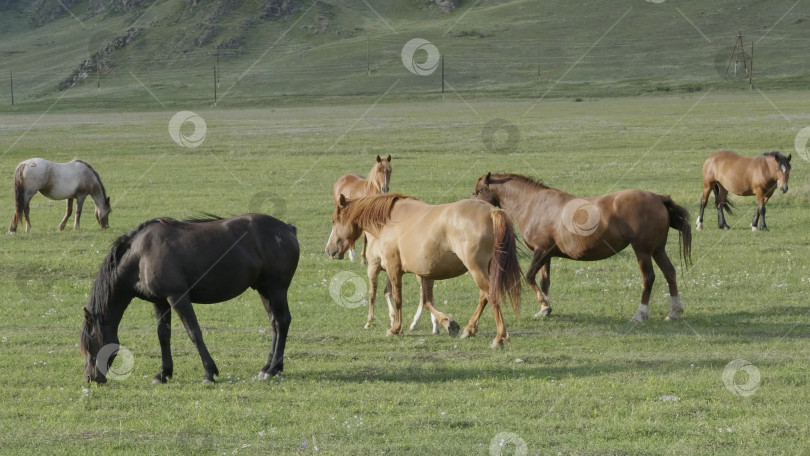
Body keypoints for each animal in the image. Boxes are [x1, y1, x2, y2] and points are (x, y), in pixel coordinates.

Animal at [80, 215, 300, 384]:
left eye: (90, 344)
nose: (91, 378)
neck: (140, 255)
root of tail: (288, 228)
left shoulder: (177, 297)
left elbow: (194, 333)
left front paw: (209, 373)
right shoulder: (160, 302)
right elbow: (163, 335)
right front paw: (163, 373)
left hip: (277, 289)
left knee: (282, 322)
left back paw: (271, 369)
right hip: (264, 289)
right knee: (275, 324)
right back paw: (271, 366)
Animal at [326, 193, 520, 350]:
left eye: (334, 221)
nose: (329, 250)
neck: (390, 221)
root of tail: (491, 212)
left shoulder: (393, 268)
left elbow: (398, 298)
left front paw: (396, 328)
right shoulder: (425, 274)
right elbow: (427, 302)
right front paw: (448, 323)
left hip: (476, 269)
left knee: (491, 295)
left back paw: (499, 338)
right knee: (484, 297)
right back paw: (469, 329)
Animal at [470, 173, 692, 322]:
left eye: (478, 190)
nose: (471, 207)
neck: (533, 204)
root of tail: (659, 198)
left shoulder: (541, 251)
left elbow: (530, 277)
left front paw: (544, 304)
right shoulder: (546, 254)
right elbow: (544, 281)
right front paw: (545, 308)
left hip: (643, 251)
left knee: (649, 278)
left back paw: (641, 314)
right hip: (657, 250)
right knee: (670, 273)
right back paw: (674, 311)